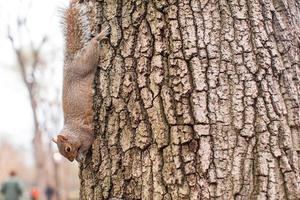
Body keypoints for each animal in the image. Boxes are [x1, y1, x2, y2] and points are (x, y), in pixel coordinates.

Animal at [52, 0, 109, 162]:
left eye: (67, 148)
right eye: (62, 154)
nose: (71, 160)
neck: (73, 132)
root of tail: (71, 62)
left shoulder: (86, 134)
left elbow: (87, 143)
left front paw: (81, 156)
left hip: (86, 62)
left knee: (93, 46)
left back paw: (100, 35)